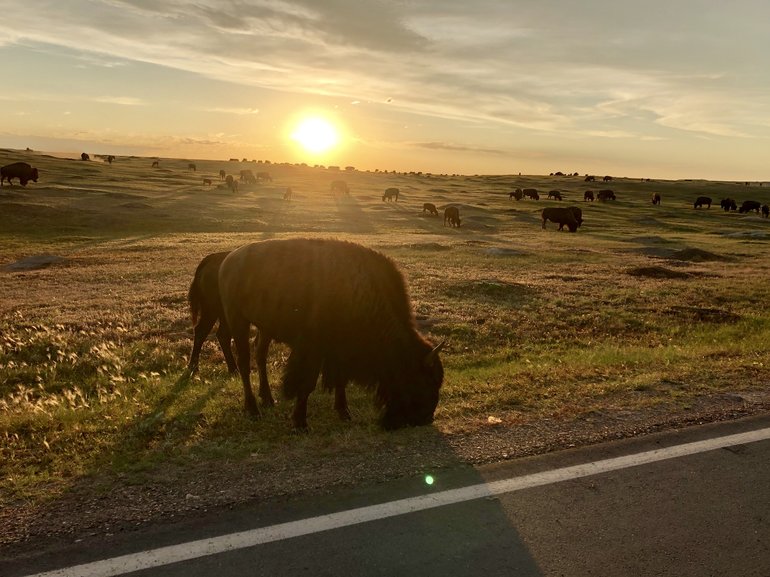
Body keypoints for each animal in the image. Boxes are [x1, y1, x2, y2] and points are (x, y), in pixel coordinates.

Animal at [216, 236, 444, 430]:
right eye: (425, 380)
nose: (426, 418)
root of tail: (229, 260)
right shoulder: (314, 350)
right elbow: (307, 384)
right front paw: (300, 423)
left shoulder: (339, 351)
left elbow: (340, 380)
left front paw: (344, 412)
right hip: (238, 320)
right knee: (244, 363)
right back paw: (253, 409)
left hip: (266, 327)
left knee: (260, 355)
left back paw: (268, 399)